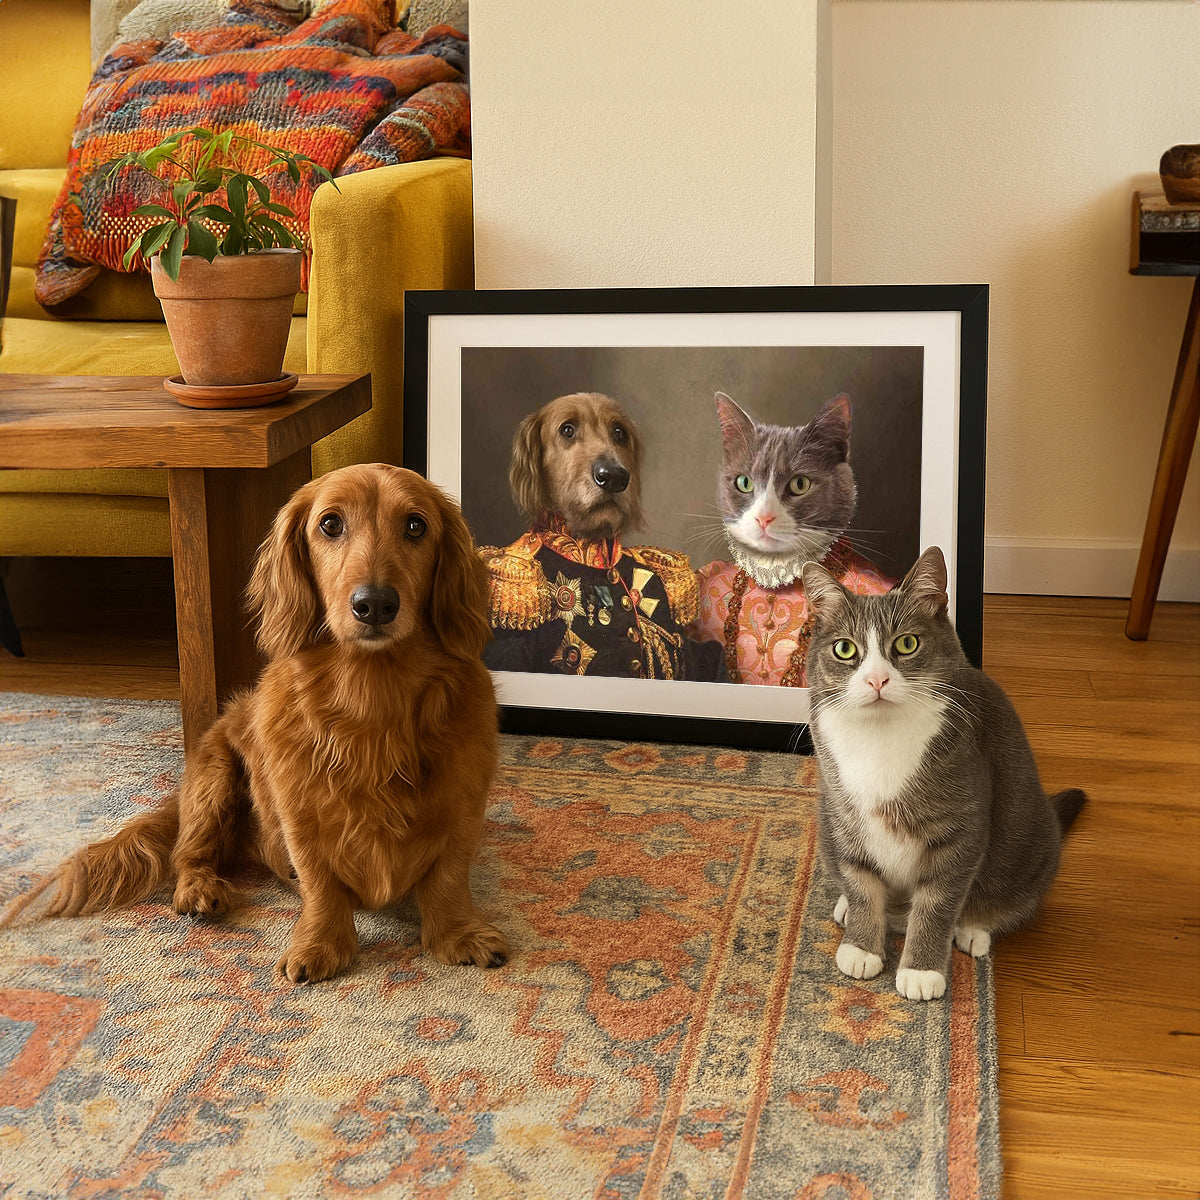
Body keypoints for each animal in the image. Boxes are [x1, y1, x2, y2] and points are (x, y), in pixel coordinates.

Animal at [3, 464, 509, 984]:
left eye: (415, 526)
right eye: (330, 524)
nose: (375, 604)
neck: (372, 699)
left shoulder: (463, 808)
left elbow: (448, 877)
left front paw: (458, 934)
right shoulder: (299, 816)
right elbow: (321, 883)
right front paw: (321, 943)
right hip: (214, 779)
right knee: (188, 854)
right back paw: (198, 891)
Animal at [801, 545, 1086, 1001]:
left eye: (906, 643)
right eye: (845, 649)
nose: (877, 679)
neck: (881, 737)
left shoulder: (959, 827)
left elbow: (937, 903)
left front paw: (920, 970)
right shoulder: (844, 815)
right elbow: (861, 884)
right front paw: (862, 946)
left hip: (1030, 844)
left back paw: (973, 929)